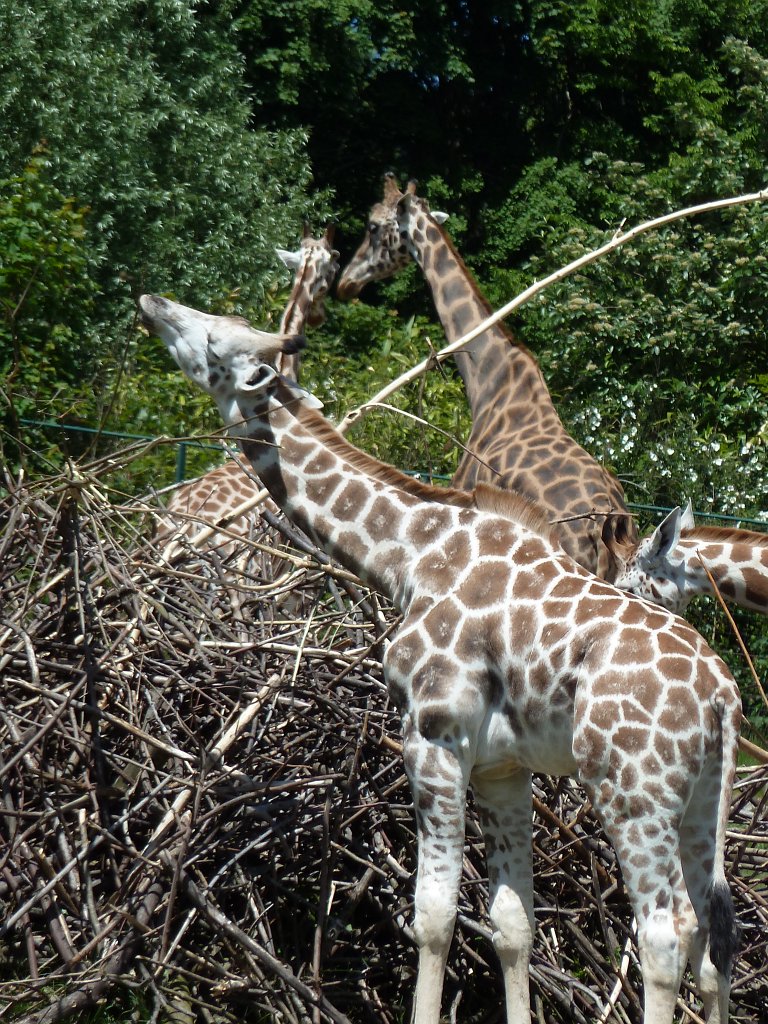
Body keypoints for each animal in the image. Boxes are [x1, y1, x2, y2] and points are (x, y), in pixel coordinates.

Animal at [139, 291, 741, 1024]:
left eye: (217, 342)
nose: (153, 302)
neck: (409, 554)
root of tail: (722, 698)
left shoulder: (432, 735)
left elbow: (433, 915)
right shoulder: (504, 767)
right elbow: (512, 924)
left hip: (632, 786)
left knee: (664, 932)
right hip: (702, 797)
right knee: (714, 939)